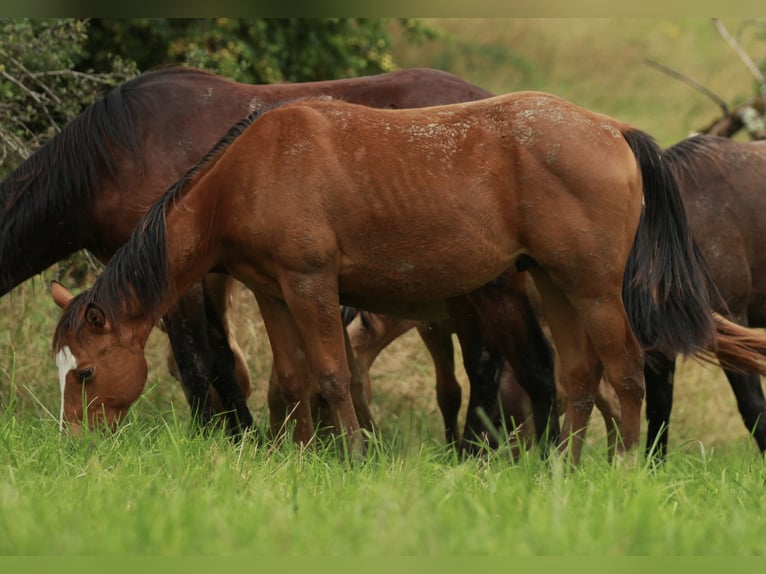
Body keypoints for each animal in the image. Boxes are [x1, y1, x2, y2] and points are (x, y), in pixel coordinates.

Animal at [0, 64, 498, 436]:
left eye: (85, 374)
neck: (112, 158)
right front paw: (246, 434)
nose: (70, 442)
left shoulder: (180, 281)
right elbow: (224, 359)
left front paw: (216, 433)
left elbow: (198, 361)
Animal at [48, 93, 766, 464]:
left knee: (626, 374)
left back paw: (621, 469)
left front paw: (351, 458)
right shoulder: (274, 290)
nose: (71, 447)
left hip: (595, 289)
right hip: (555, 284)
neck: (253, 169)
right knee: (580, 380)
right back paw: (562, 471)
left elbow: (331, 375)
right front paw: (292, 458)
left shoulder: (311, 286)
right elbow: (291, 380)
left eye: (85, 372)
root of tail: (615, 130)